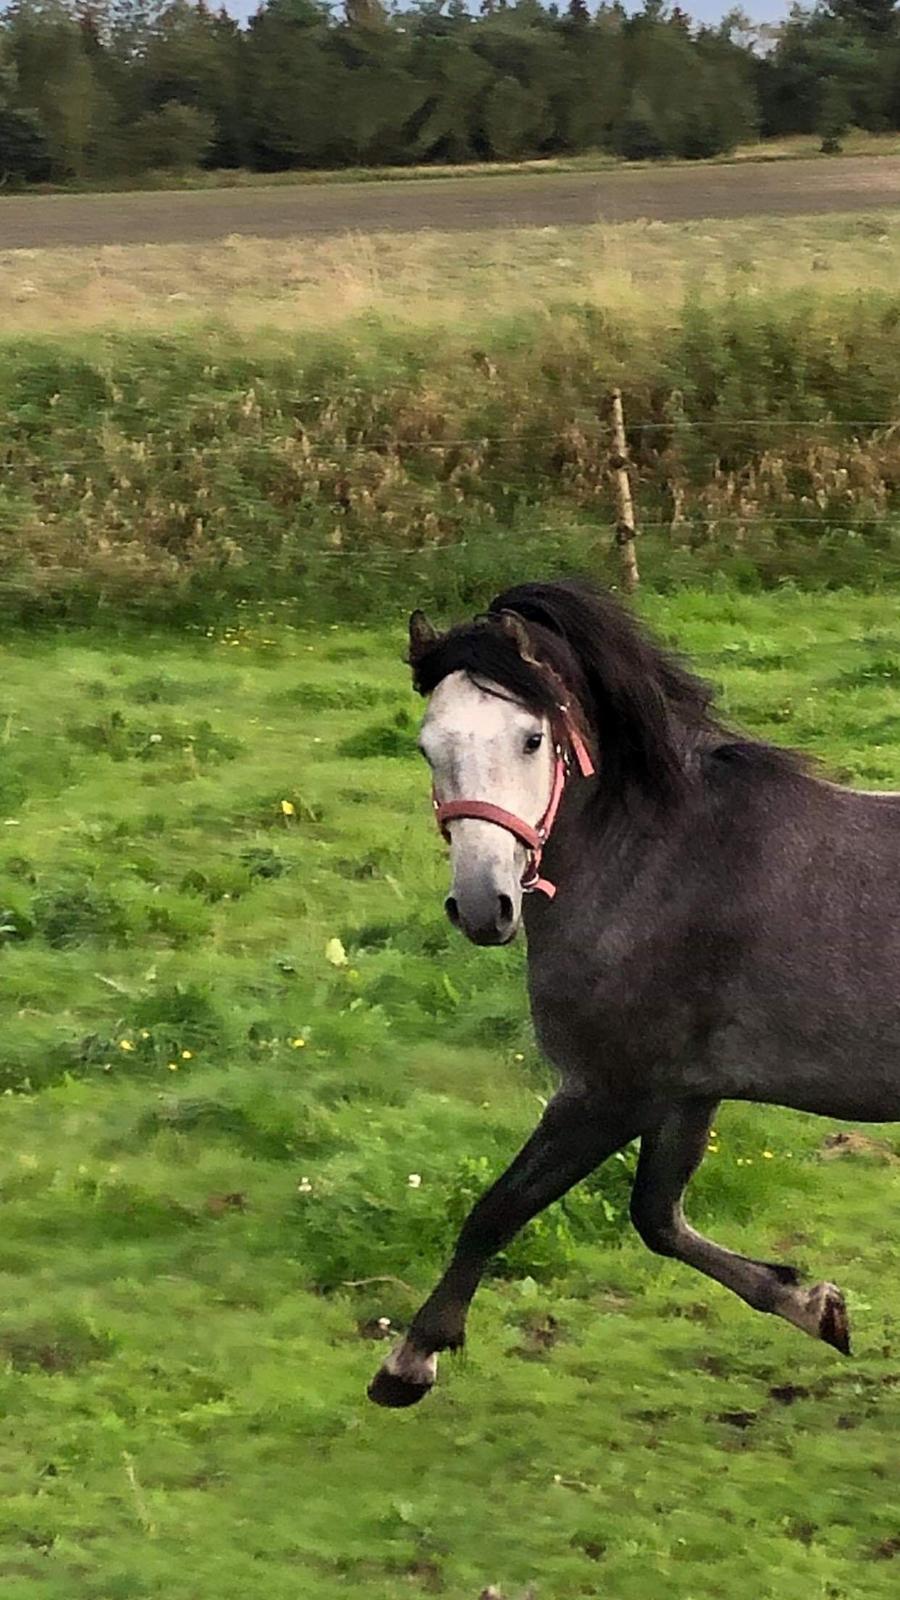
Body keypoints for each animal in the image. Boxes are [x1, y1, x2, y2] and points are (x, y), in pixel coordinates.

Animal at [368, 578, 900, 1409]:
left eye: (531, 739)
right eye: (427, 747)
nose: (483, 907)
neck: (662, 864)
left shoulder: (608, 1091)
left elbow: (498, 1209)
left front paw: (411, 1361)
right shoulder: (689, 1089)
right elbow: (657, 1217)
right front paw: (815, 1304)